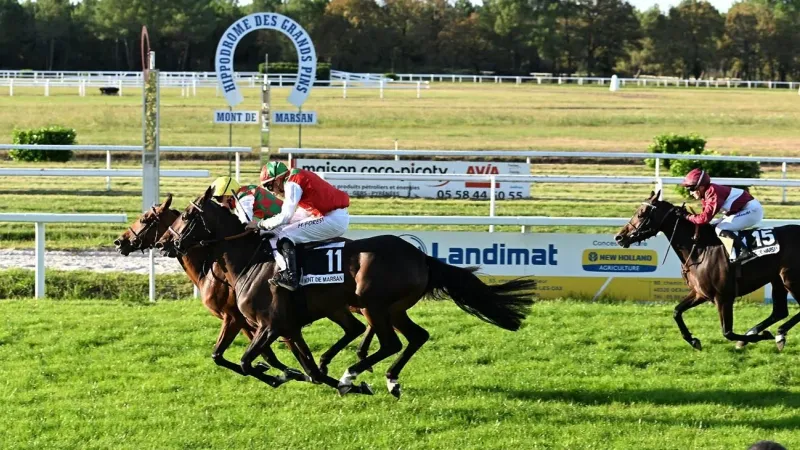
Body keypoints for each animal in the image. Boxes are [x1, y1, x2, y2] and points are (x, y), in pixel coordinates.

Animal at [115, 193, 306, 386]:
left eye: (144, 219)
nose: (119, 241)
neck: (209, 270)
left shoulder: (235, 318)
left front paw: (288, 373)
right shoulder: (245, 322)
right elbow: (263, 356)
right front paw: (283, 372)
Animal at [156, 186, 536, 398]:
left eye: (186, 216)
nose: (164, 243)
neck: (252, 261)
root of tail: (419, 255)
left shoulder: (271, 325)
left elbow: (249, 362)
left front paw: (283, 376)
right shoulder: (287, 328)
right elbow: (306, 368)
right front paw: (301, 374)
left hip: (373, 305)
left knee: (390, 342)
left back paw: (352, 374)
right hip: (393, 309)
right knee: (416, 336)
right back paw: (388, 380)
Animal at [612, 190, 800, 352]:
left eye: (642, 213)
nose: (619, 237)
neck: (700, 249)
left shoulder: (723, 297)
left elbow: (728, 332)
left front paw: (759, 337)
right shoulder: (700, 293)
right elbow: (676, 311)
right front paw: (693, 340)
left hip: (791, 279)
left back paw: (778, 334)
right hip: (778, 281)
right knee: (780, 311)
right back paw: (767, 333)